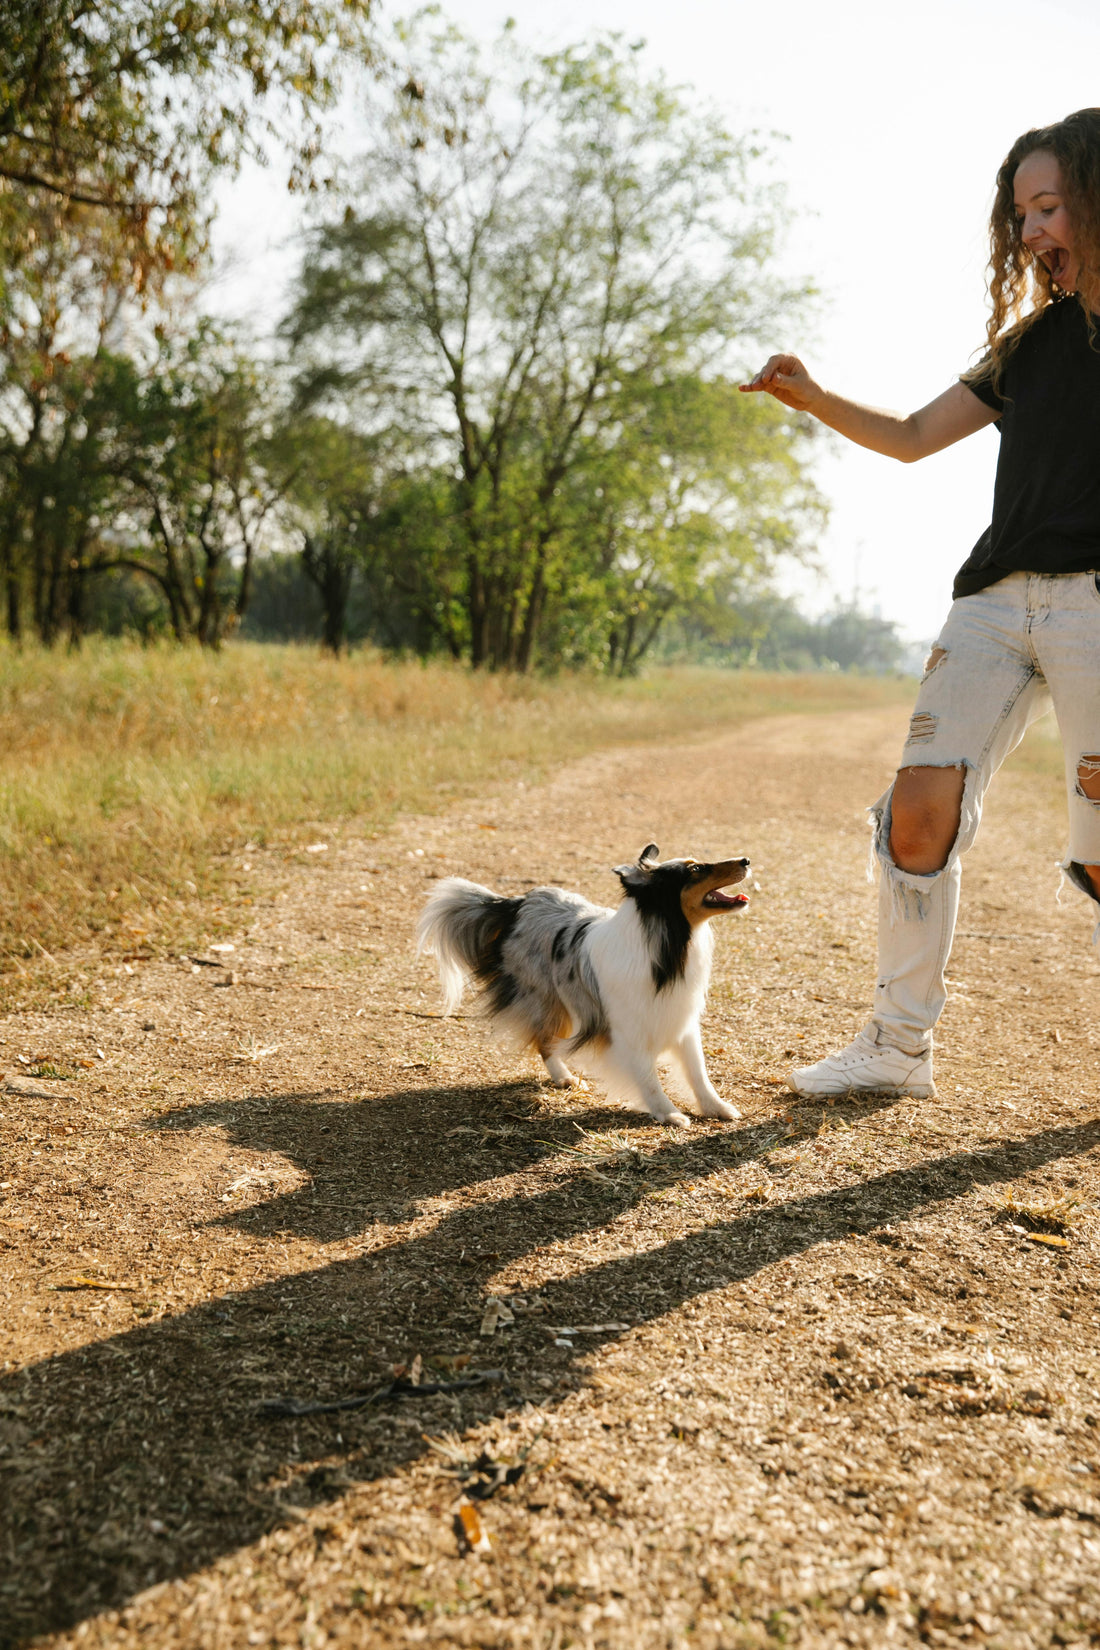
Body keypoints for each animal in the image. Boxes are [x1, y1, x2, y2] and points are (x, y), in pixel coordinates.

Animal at [417, 844, 752, 1128]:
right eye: (695, 869)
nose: (746, 860)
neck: (664, 946)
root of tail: (517, 903)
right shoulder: (628, 1031)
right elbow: (647, 1076)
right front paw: (667, 1113)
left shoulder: (681, 1021)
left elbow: (698, 1072)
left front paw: (715, 1107)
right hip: (547, 1001)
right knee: (545, 1042)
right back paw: (564, 1078)